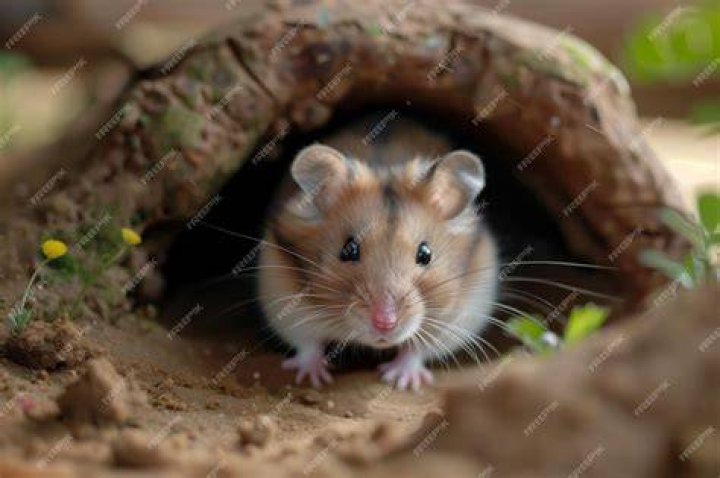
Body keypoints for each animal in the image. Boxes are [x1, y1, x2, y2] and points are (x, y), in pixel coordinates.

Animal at [258, 116, 499, 390]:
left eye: (425, 254)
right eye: (348, 250)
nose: (385, 323)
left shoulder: (461, 316)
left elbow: (418, 348)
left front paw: (400, 380)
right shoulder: (284, 301)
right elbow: (307, 343)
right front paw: (314, 378)